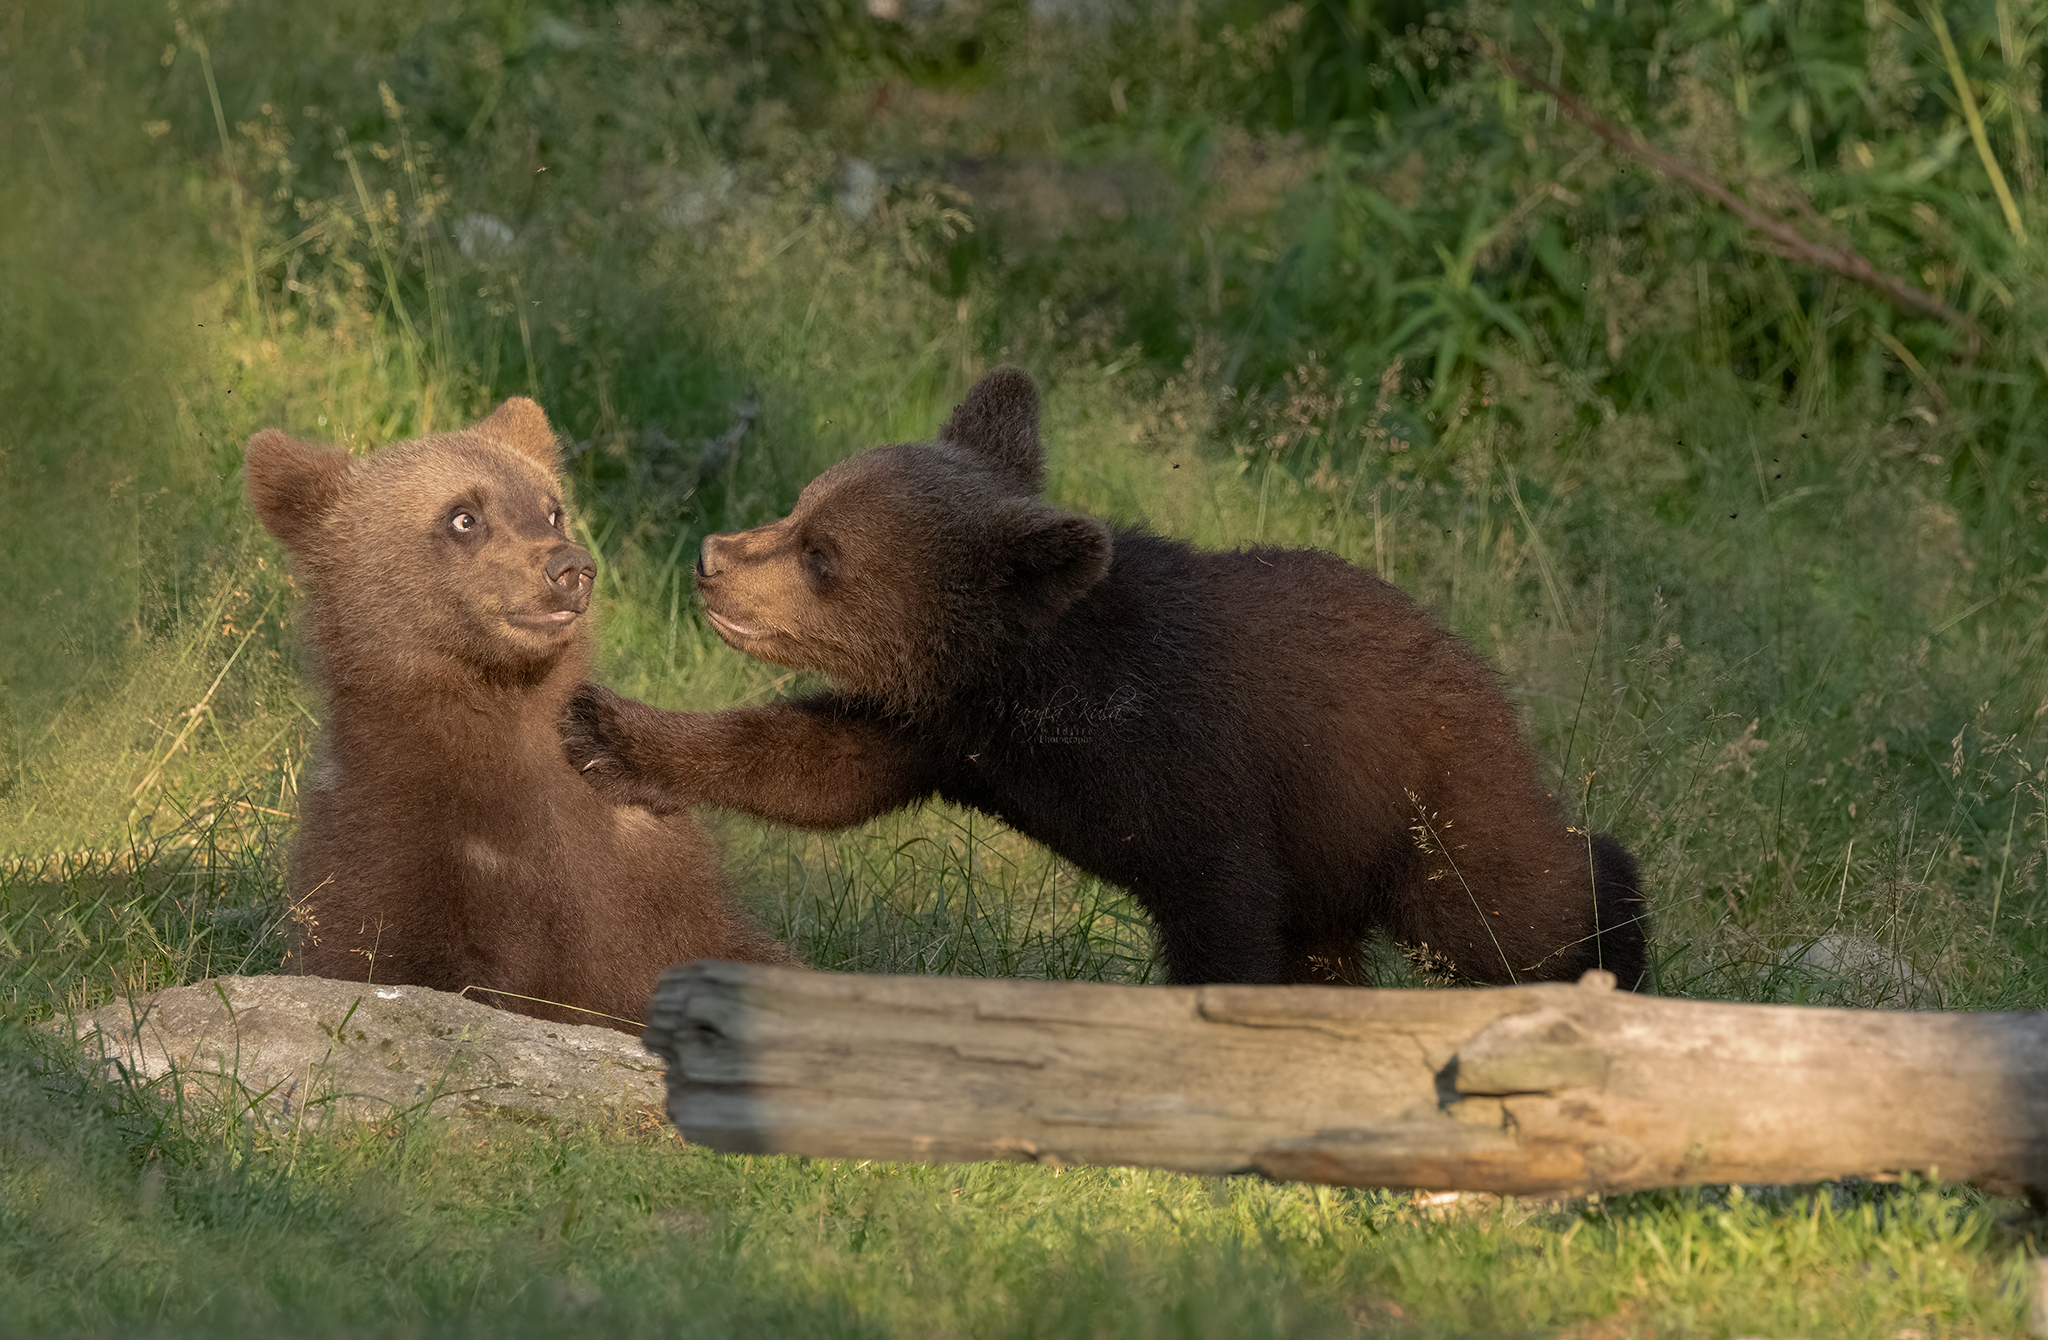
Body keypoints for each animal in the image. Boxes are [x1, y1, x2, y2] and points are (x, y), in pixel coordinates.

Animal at [245, 397, 785, 1033]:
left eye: (552, 509)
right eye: (463, 517)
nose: (570, 568)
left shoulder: (641, 859)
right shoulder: (395, 845)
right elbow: (386, 954)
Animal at [563, 368, 1648, 989]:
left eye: (824, 553)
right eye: (801, 504)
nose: (714, 558)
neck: (1032, 689)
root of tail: (1484, 674)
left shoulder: (1197, 766)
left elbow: (1222, 912)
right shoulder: (932, 729)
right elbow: (804, 766)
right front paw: (602, 727)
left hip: (1411, 796)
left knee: (1508, 905)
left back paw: (1612, 944)